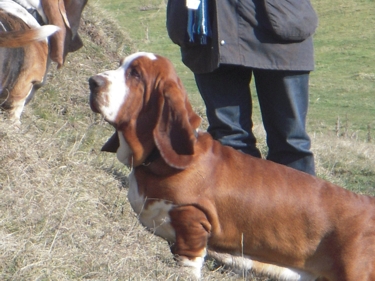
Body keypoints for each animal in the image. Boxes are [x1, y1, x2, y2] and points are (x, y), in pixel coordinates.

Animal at [89, 51, 375, 278]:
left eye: (136, 74)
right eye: (120, 65)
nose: (93, 82)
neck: (154, 160)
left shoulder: (192, 221)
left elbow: (188, 263)